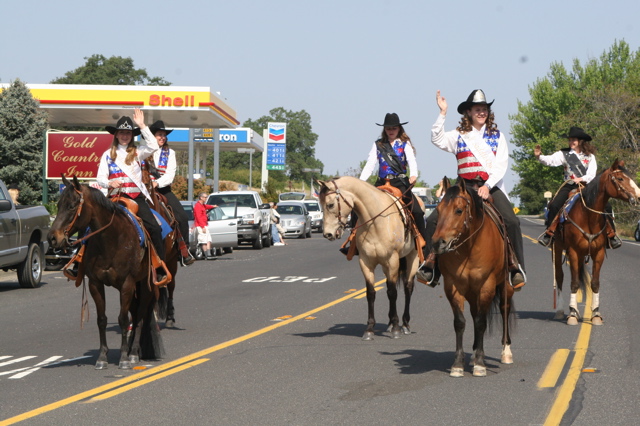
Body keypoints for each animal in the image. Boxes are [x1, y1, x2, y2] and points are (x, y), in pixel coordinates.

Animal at [49, 176, 165, 370]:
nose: (52, 238)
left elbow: (123, 320)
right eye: (58, 205)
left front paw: (124, 358)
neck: (111, 240)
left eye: (72, 206)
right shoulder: (95, 284)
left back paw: (134, 353)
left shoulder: (127, 284)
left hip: (145, 286)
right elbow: (102, 319)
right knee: (135, 315)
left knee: (140, 318)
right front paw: (102, 357)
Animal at [318, 178, 420, 342]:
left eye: (330, 204)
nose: (327, 234)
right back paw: (390, 323)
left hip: (412, 257)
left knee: (407, 288)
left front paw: (396, 328)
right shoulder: (366, 262)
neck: (376, 223)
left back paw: (405, 324)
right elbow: (371, 293)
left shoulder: (392, 260)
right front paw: (370, 329)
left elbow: (393, 293)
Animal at [430, 179, 516, 376]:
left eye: (458, 210)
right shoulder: (453, 286)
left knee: (504, 310)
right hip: (471, 292)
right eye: (438, 209)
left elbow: (481, 323)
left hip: (504, 286)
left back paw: (506, 352)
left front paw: (480, 364)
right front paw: (458, 364)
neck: (469, 247)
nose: (437, 243)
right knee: (475, 313)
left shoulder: (487, 285)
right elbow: (460, 322)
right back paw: (475, 352)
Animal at [552, 161, 640, 326]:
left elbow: (594, 283)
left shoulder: (598, 253)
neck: (588, 217)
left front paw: (596, 314)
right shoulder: (573, 251)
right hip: (558, 247)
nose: (638, 196)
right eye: (620, 178)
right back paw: (560, 311)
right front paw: (572, 314)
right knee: (559, 277)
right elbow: (574, 283)